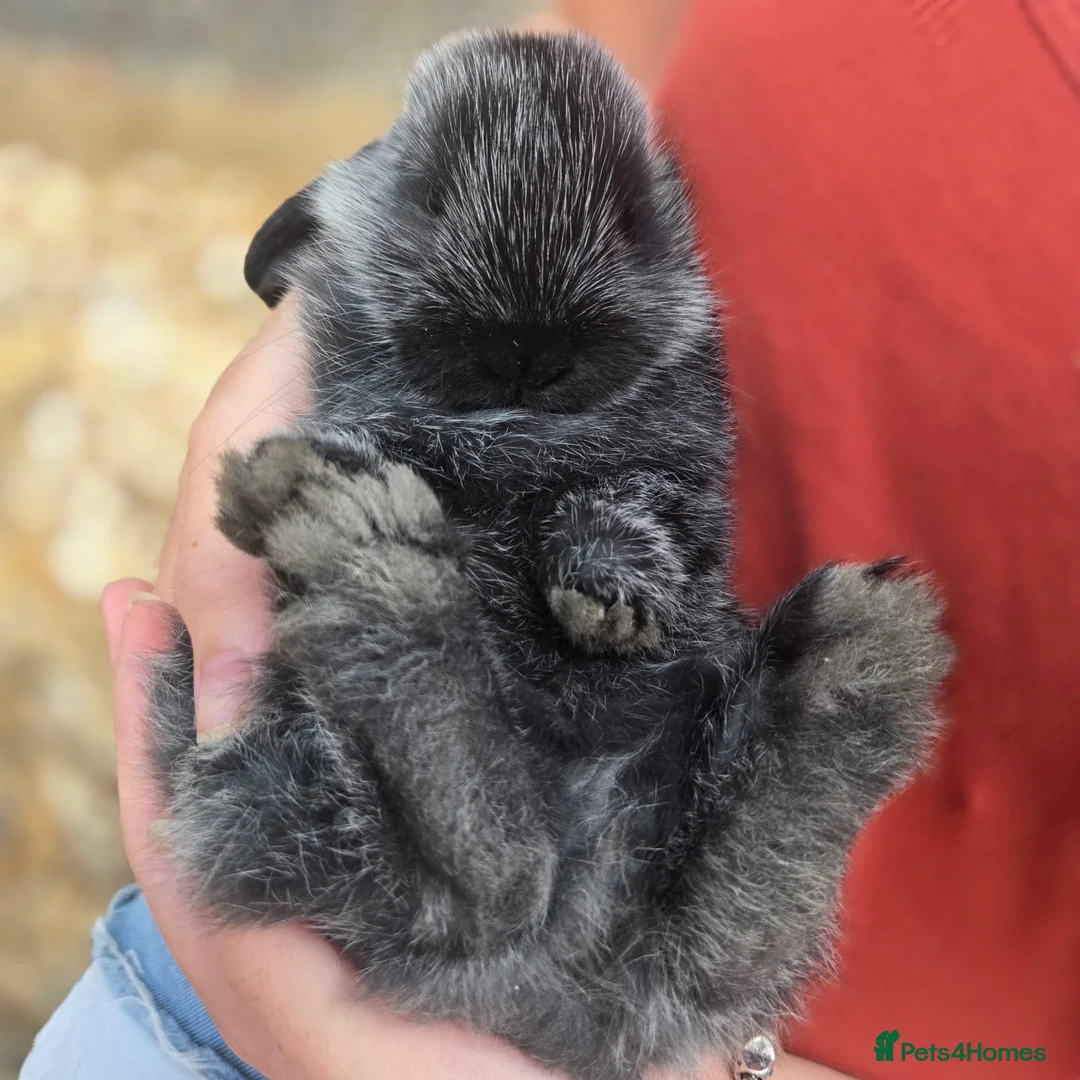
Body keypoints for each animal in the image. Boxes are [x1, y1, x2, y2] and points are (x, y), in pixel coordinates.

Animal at [148, 29, 953, 1080]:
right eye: (427, 195)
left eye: (635, 215)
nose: (527, 347)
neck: (517, 434)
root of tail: (572, 972)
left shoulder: (670, 477)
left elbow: (625, 510)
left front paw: (612, 604)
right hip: (301, 772)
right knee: (483, 874)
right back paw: (361, 540)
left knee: (683, 911)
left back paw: (857, 662)